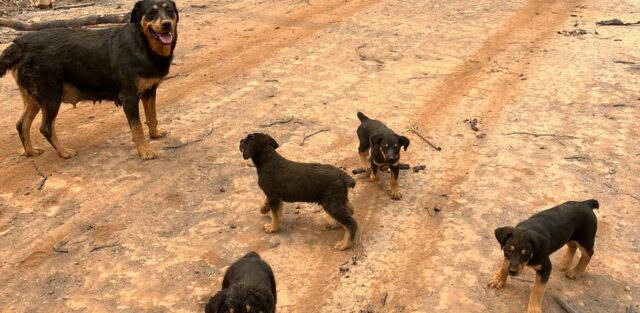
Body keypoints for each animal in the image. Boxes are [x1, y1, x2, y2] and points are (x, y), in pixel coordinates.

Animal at [0, 0, 178, 160]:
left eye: (169, 11)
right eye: (151, 13)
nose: (167, 24)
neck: (142, 44)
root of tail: (19, 44)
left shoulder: (149, 91)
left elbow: (152, 117)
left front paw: (155, 134)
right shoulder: (129, 98)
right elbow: (137, 128)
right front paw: (144, 151)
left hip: (34, 98)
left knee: (21, 124)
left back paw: (30, 151)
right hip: (51, 97)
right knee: (45, 128)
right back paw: (64, 152)